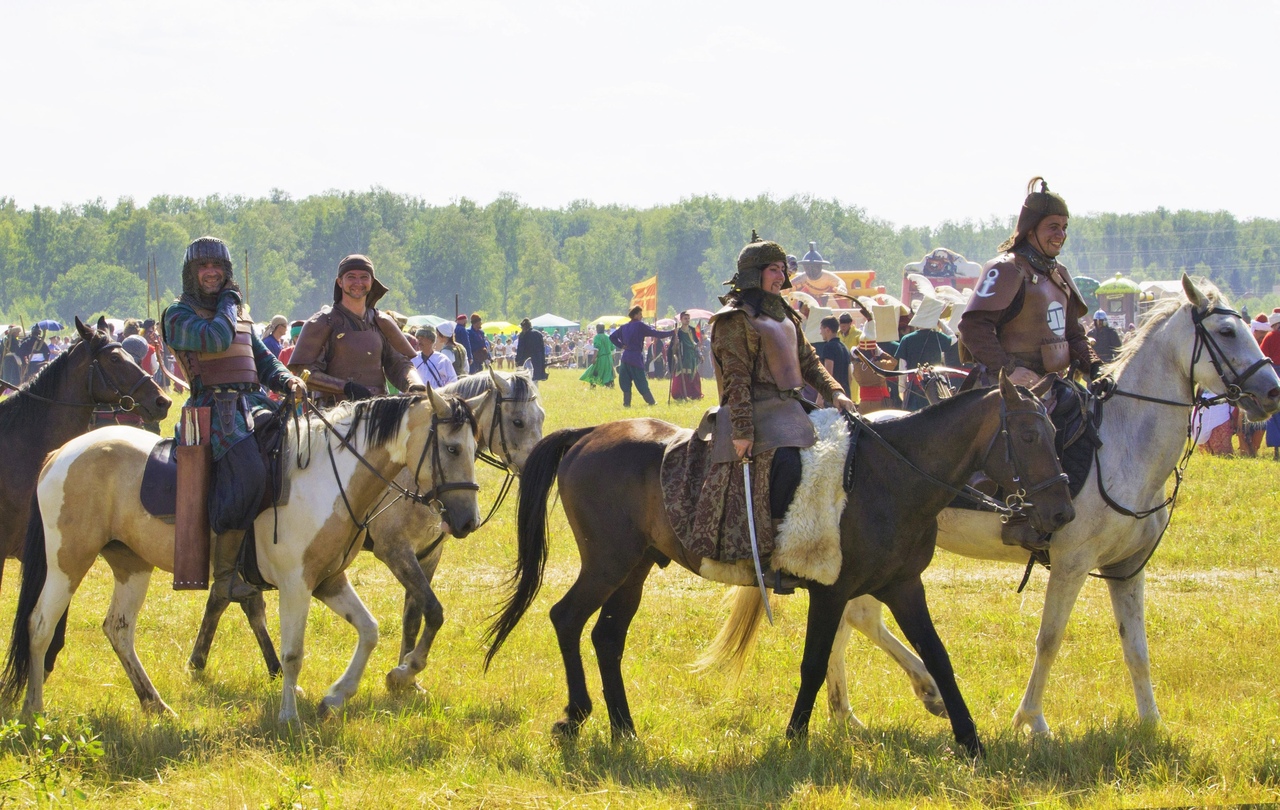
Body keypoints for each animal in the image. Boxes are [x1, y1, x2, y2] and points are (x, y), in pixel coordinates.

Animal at [3, 386, 483, 721]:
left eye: (475, 448)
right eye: (452, 448)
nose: (467, 522)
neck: (329, 478)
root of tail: (62, 453)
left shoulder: (329, 581)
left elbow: (369, 631)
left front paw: (335, 697)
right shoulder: (296, 585)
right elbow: (292, 653)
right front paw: (289, 717)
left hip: (130, 565)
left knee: (118, 630)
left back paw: (155, 704)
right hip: (67, 561)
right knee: (40, 625)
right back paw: (34, 711)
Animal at [483, 376, 1075, 757]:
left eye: (1053, 432)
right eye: (1028, 435)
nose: (1061, 512)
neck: (891, 476)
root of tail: (586, 435)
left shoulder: (905, 586)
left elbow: (939, 658)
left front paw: (970, 739)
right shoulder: (832, 590)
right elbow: (814, 664)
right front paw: (795, 737)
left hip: (635, 567)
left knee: (607, 636)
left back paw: (624, 729)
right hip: (607, 562)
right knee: (566, 618)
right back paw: (576, 715)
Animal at [819, 276, 1280, 731]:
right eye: (1226, 331)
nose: (1271, 391)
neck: (1122, 445)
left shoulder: (1127, 568)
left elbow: (1136, 647)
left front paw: (1151, 723)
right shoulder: (1071, 564)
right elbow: (1050, 639)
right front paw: (1032, 720)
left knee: (851, 616)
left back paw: (850, 711)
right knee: (858, 616)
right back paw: (918, 690)